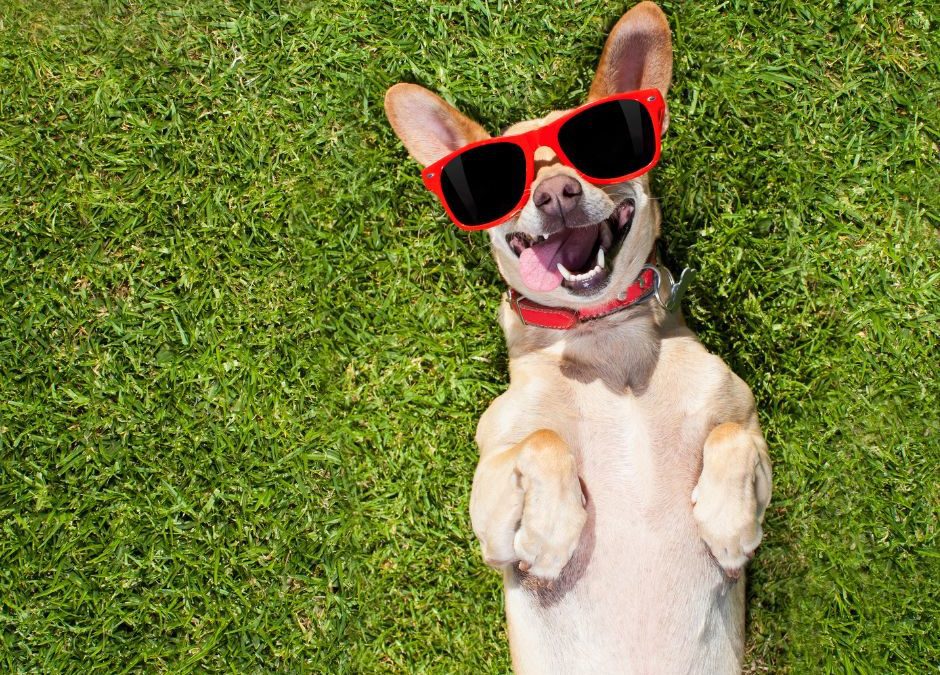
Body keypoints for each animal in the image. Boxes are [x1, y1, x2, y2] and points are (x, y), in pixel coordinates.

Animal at [382, 2, 772, 672]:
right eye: (505, 183)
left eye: (596, 150)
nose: (556, 192)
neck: (604, 340)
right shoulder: (488, 507)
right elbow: (542, 440)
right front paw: (552, 532)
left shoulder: (752, 435)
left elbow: (731, 437)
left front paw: (727, 523)